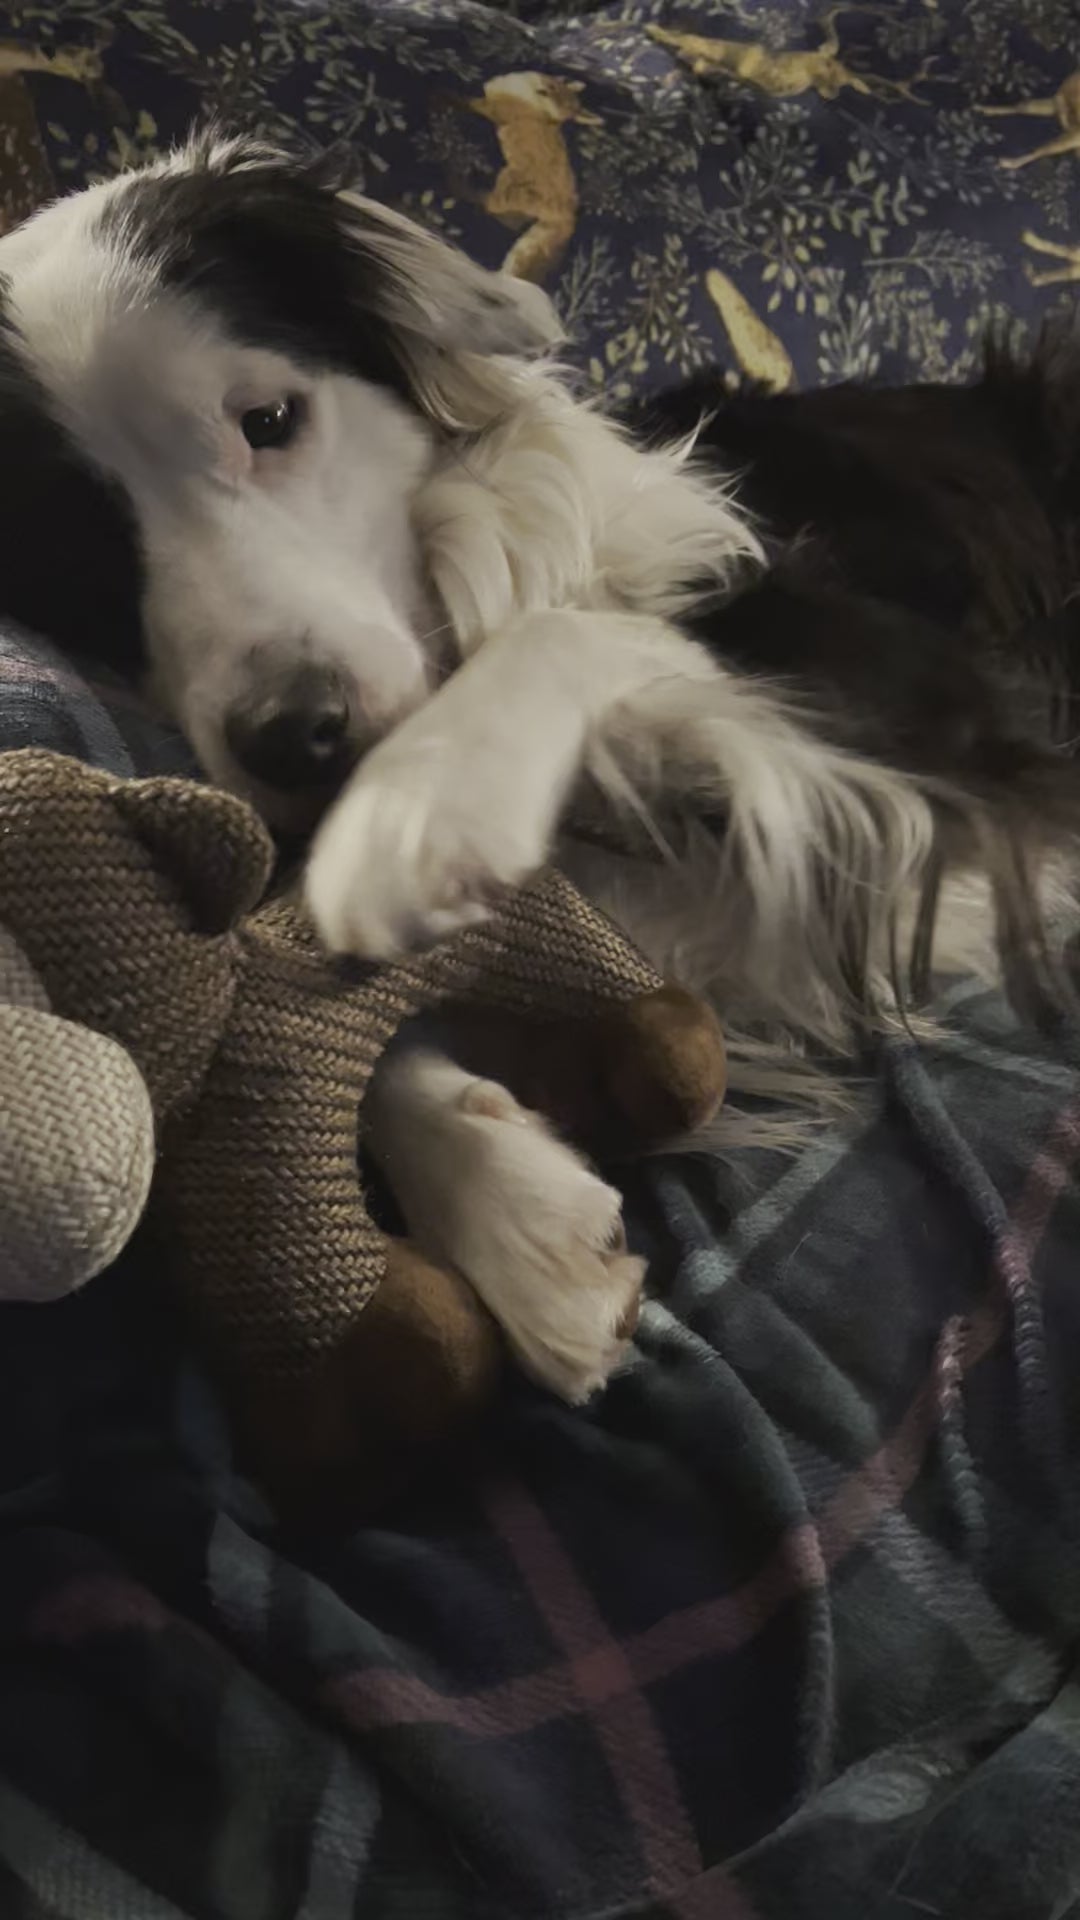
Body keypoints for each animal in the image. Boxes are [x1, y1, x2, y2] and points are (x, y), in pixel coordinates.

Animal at [2, 135, 1076, 1397]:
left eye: (267, 416)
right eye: (78, 555)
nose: (297, 736)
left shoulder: (932, 710)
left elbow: (569, 634)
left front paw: (421, 811)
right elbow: (329, 1007)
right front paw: (512, 1214)